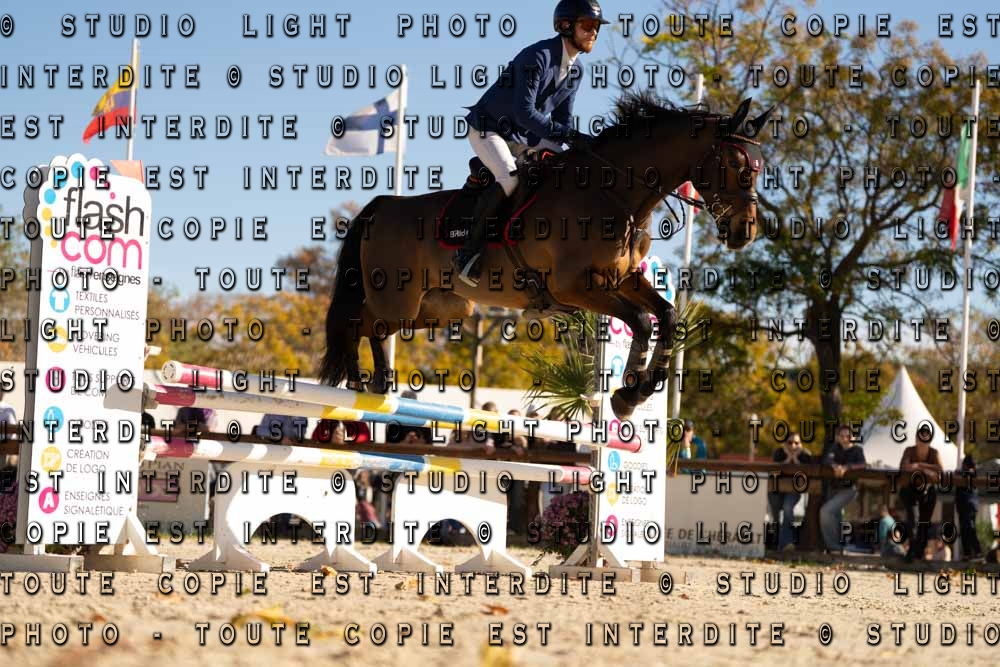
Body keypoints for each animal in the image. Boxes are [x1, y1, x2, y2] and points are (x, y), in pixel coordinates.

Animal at [321, 91, 773, 422]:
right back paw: (358, 383)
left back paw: (376, 384)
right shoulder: (575, 287)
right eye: (735, 164)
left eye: (759, 165)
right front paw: (628, 393)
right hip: (397, 299)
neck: (615, 191)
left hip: (437, 309)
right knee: (356, 324)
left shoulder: (622, 279)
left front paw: (637, 390)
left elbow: (667, 314)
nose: (745, 232)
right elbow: (642, 321)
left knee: (371, 328)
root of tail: (381, 206)